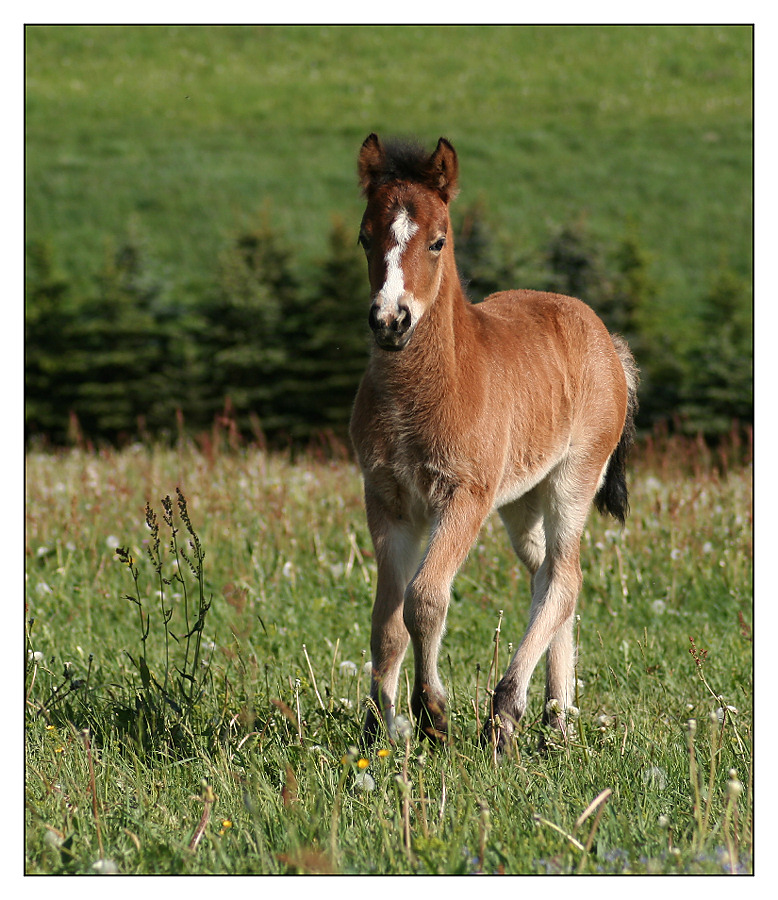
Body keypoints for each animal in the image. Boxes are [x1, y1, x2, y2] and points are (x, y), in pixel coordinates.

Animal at [352, 134, 636, 748]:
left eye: (437, 241)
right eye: (365, 236)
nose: (390, 321)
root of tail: (609, 341)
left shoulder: (466, 495)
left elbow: (424, 599)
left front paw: (432, 712)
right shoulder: (386, 500)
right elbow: (385, 619)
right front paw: (380, 726)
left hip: (573, 479)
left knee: (566, 576)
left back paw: (505, 712)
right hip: (522, 499)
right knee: (547, 574)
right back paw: (555, 714)